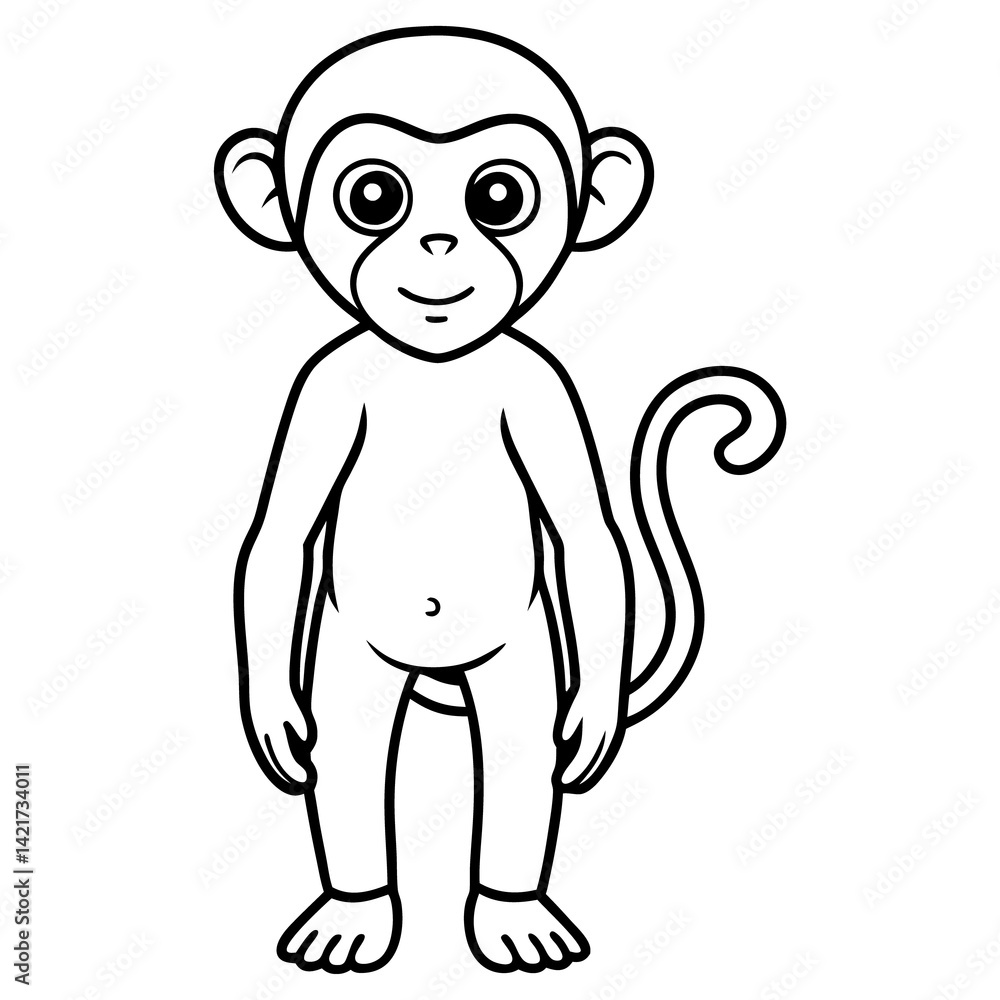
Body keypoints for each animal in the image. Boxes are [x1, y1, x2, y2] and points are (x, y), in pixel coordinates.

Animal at [216, 26, 785, 974]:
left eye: (499, 196)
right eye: (373, 196)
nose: (440, 243)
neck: (433, 365)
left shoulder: (545, 391)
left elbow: (587, 535)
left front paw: (594, 723)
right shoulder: (320, 391)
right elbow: (281, 536)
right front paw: (270, 717)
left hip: (518, 655)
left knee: (517, 756)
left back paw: (513, 916)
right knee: (354, 753)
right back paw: (354, 916)